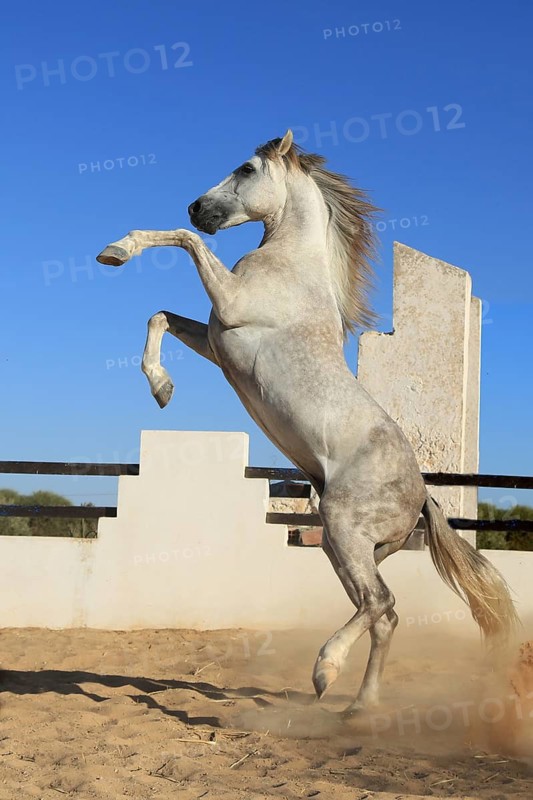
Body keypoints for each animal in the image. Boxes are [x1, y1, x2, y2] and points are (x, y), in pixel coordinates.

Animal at [97, 130, 519, 715]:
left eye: (246, 169)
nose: (197, 208)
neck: (290, 263)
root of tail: (421, 496)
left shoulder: (230, 307)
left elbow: (183, 243)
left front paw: (118, 250)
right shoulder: (217, 340)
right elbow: (159, 315)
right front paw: (161, 388)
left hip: (343, 530)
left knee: (381, 601)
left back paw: (326, 670)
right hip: (345, 548)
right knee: (383, 614)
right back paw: (359, 707)